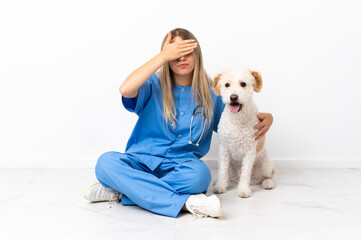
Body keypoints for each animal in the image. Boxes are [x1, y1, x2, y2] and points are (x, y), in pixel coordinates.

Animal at [212, 68, 274, 198]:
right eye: (227, 85)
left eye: (243, 84)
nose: (233, 97)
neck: (237, 119)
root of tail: (255, 180)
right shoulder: (224, 150)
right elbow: (223, 172)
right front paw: (220, 186)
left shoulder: (249, 151)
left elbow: (245, 173)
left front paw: (244, 190)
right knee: (229, 177)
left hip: (267, 165)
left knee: (270, 175)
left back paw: (268, 183)